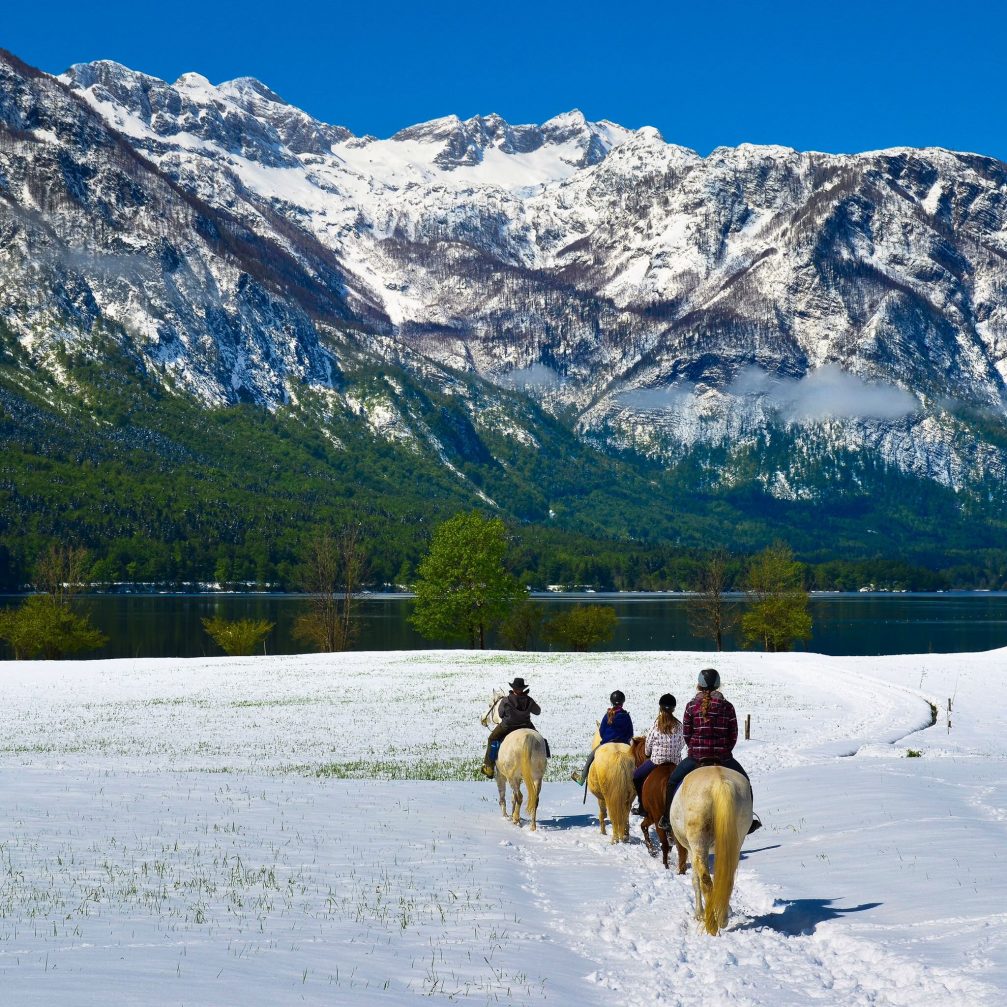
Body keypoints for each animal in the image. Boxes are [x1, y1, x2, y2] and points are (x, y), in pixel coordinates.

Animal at [481, 696, 547, 829]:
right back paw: (532, 826)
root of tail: (528, 737)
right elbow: (513, 798)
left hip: (513, 777)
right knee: (535, 799)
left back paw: (516, 819)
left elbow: (503, 796)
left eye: (490, 705)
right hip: (537, 777)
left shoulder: (500, 776)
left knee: (519, 796)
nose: (482, 719)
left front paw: (507, 816)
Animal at [624, 737, 688, 870]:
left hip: (658, 818)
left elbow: (643, 827)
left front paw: (652, 850)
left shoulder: (651, 816)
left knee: (664, 844)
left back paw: (665, 865)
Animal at [672, 761, 753, 934]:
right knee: (728, 878)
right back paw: (722, 919)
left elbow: (695, 880)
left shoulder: (691, 850)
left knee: (705, 880)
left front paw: (698, 914)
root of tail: (719, 782)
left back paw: (711, 924)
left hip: (698, 843)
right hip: (736, 842)